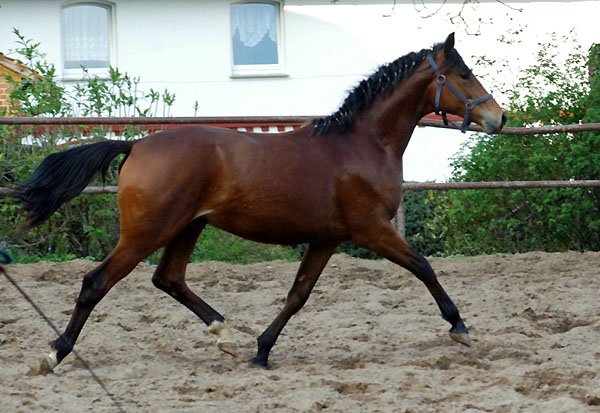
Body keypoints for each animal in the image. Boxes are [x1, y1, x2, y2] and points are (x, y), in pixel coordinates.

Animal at [16, 34, 504, 370]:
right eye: (463, 74)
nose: (497, 118)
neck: (362, 144)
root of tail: (136, 145)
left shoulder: (327, 239)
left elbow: (298, 295)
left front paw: (262, 350)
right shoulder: (371, 230)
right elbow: (424, 266)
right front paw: (459, 327)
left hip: (188, 226)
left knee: (168, 278)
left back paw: (225, 334)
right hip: (146, 231)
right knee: (96, 283)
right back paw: (55, 354)